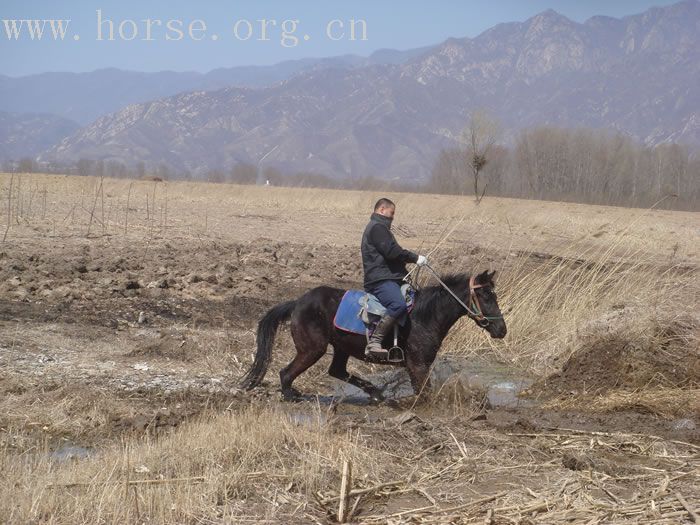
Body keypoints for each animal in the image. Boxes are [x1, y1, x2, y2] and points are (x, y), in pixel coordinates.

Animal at [241, 270, 504, 402]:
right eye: (486, 295)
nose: (502, 329)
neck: (426, 316)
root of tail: (297, 303)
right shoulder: (417, 364)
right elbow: (426, 394)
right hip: (312, 349)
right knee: (286, 373)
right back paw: (290, 395)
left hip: (340, 347)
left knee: (337, 371)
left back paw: (376, 394)